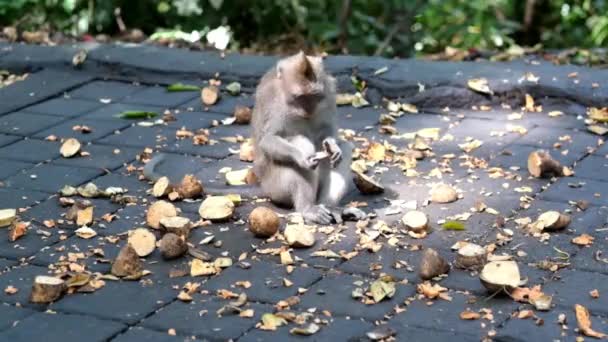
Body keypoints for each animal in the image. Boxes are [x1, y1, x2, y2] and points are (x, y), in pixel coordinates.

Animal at [144, 51, 360, 224]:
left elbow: (328, 132)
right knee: (301, 143)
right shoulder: (272, 99)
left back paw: (330, 206)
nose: (308, 110)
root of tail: (264, 186)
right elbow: (268, 140)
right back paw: (308, 208)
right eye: (300, 98)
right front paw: (302, 158)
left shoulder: (329, 92)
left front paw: (332, 146)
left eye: (314, 97)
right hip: (277, 185)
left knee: (345, 149)